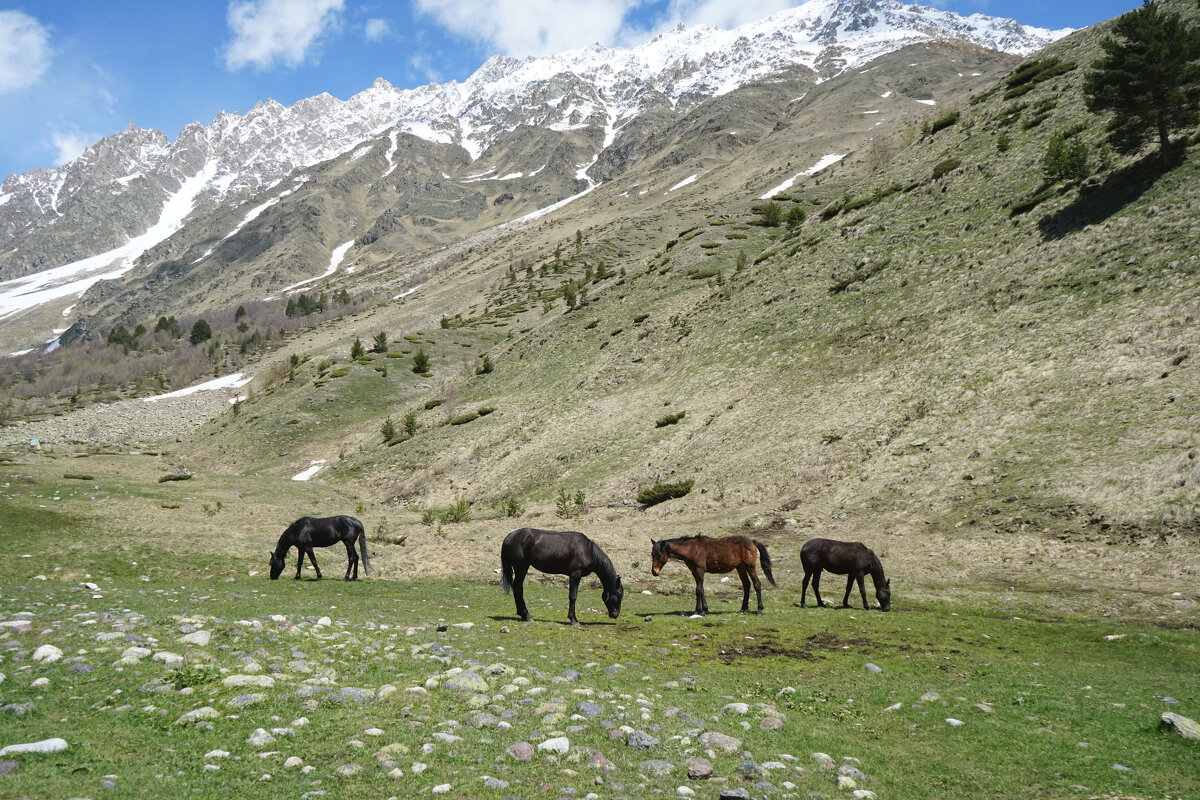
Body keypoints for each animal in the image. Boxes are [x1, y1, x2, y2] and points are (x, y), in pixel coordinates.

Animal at [648, 534, 777, 618]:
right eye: (652, 554)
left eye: (659, 554)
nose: (654, 572)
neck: (692, 549)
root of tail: (752, 541)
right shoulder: (694, 571)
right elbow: (698, 590)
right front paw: (698, 610)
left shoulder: (700, 570)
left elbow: (700, 589)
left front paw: (703, 610)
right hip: (740, 567)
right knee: (746, 585)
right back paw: (743, 609)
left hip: (750, 566)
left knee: (757, 584)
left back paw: (759, 610)